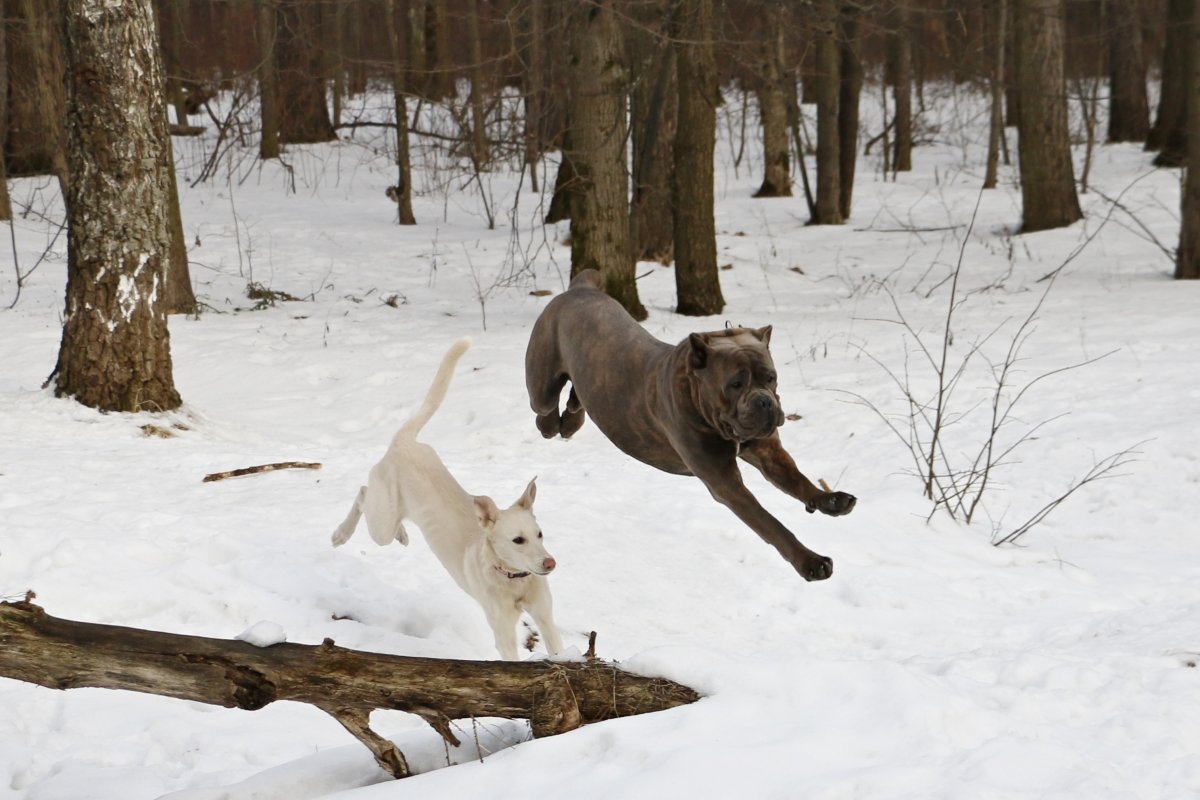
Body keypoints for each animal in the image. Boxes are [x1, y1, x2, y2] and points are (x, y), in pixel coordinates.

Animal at [331, 335, 564, 657]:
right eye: (518, 540)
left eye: (540, 534)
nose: (550, 563)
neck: (514, 579)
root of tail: (404, 440)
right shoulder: (503, 632)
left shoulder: (546, 617)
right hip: (381, 521)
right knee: (363, 494)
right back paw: (342, 533)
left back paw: (402, 533)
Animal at [525, 268, 854, 582]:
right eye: (735, 384)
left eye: (770, 378)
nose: (765, 401)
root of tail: (580, 288)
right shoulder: (725, 482)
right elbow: (770, 523)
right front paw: (810, 561)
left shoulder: (768, 451)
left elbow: (797, 479)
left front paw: (829, 500)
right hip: (542, 381)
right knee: (544, 409)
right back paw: (553, 423)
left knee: (577, 397)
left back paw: (571, 420)